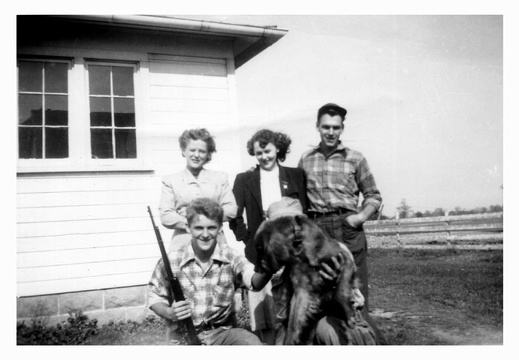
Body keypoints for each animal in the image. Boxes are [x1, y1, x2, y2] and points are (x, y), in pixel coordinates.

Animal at [254, 215, 368, 344]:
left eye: (259, 249)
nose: (255, 269)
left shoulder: (345, 259)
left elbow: (341, 291)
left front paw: (349, 314)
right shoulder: (302, 289)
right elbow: (293, 322)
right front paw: (289, 340)